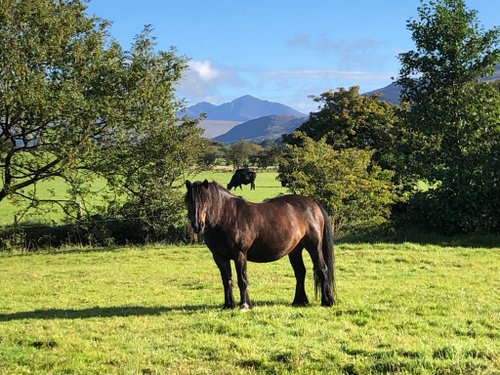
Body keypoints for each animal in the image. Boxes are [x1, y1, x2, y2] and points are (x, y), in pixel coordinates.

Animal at [185, 181, 336, 310]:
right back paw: (299, 301)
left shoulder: (240, 254)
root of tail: (313, 203)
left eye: (206, 200)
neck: (226, 217)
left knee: (322, 269)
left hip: (314, 247)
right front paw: (228, 305)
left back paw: (327, 301)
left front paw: (244, 305)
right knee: (300, 272)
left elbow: (242, 280)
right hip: (295, 250)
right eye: (189, 202)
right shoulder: (219, 257)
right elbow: (227, 281)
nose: (197, 225)